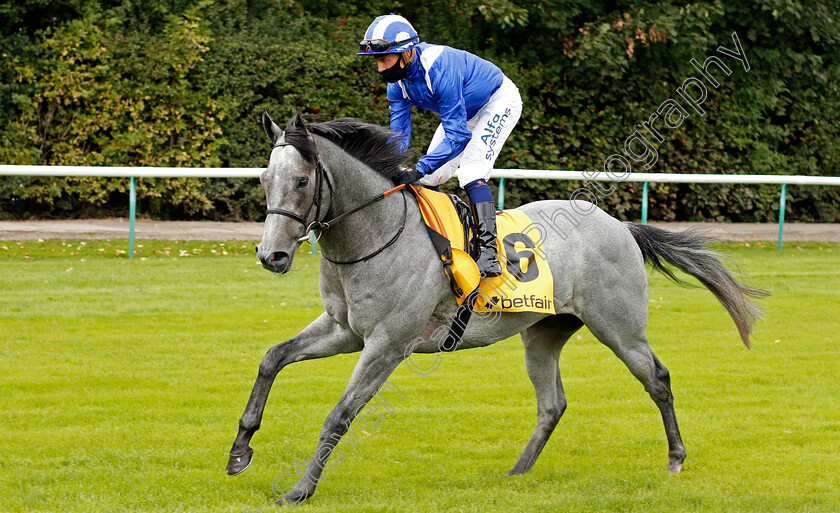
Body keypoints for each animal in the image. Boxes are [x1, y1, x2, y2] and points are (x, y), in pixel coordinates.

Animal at [228, 111, 768, 504]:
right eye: (264, 179)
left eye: (302, 181)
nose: (271, 255)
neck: (377, 232)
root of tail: (620, 225)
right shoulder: (345, 330)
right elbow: (272, 358)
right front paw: (239, 451)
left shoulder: (388, 343)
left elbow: (340, 414)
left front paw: (299, 489)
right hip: (544, 332)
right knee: (552, 403)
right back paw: (517, 472)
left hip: (620, 327)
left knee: (656, 377)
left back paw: (676, 457)